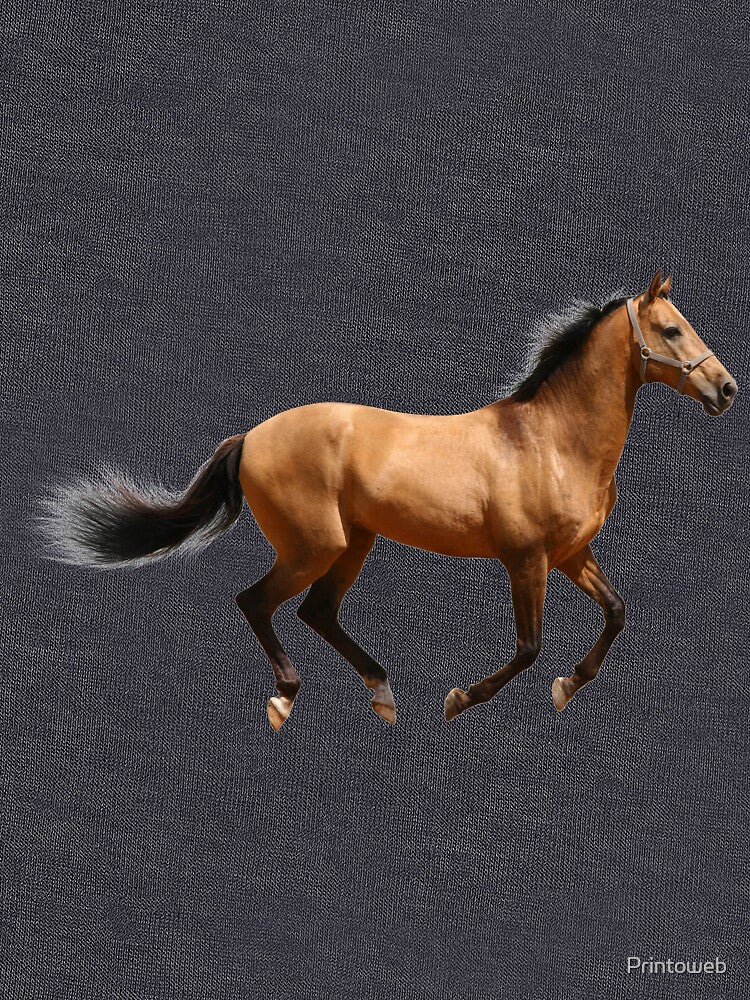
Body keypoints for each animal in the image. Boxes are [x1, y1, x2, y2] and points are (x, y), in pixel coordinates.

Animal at [40, 271, 738, 730]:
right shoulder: (527, 560)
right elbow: (528, 647)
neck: (549, 441)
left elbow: (616, 614)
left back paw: (381, 694)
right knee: (258, 602)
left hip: (355, 542)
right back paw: (284, 699)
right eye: (671, 330)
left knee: (317, 611)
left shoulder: (571, 554)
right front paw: (461, 701)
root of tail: (252, 436)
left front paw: (567, 688)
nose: (726, 389)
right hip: (315, 545)